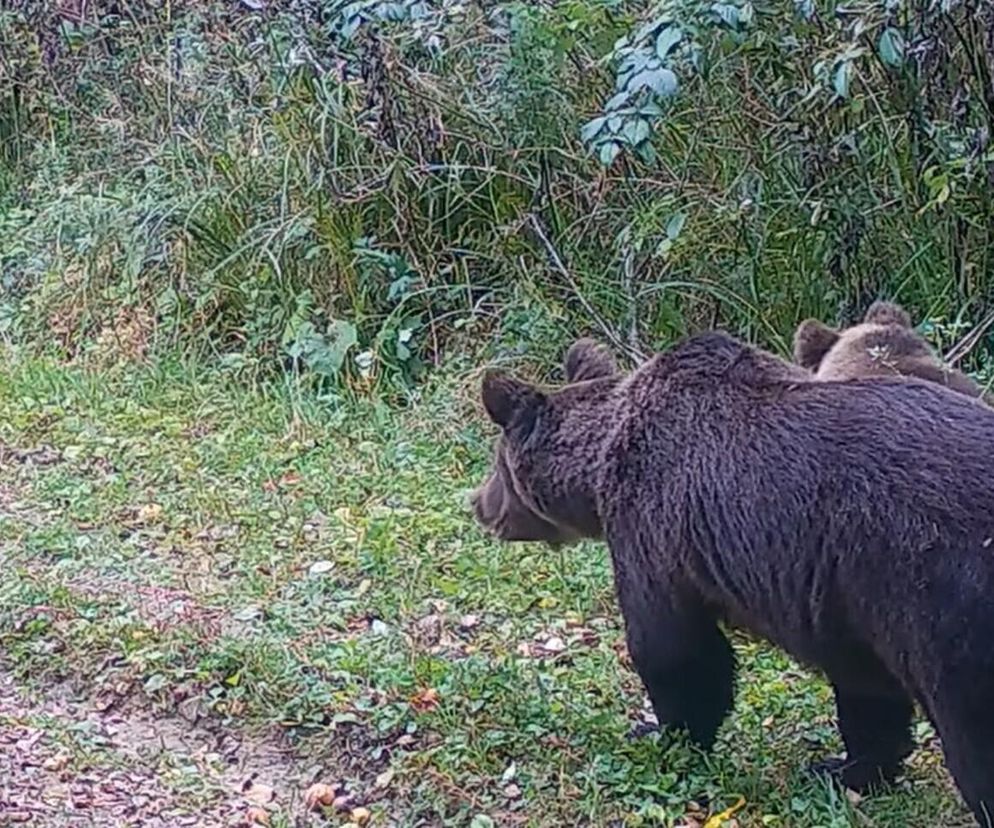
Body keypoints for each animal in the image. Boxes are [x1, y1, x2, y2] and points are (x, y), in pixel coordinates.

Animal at [468, 334, 992, 824]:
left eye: (496, 465)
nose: (478, 503)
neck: (601, 466)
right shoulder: (841, 590)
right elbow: (865, 685)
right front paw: (846, 767)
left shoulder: (654, 528)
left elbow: (676, 651)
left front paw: (661, 734)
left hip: (946, 601)